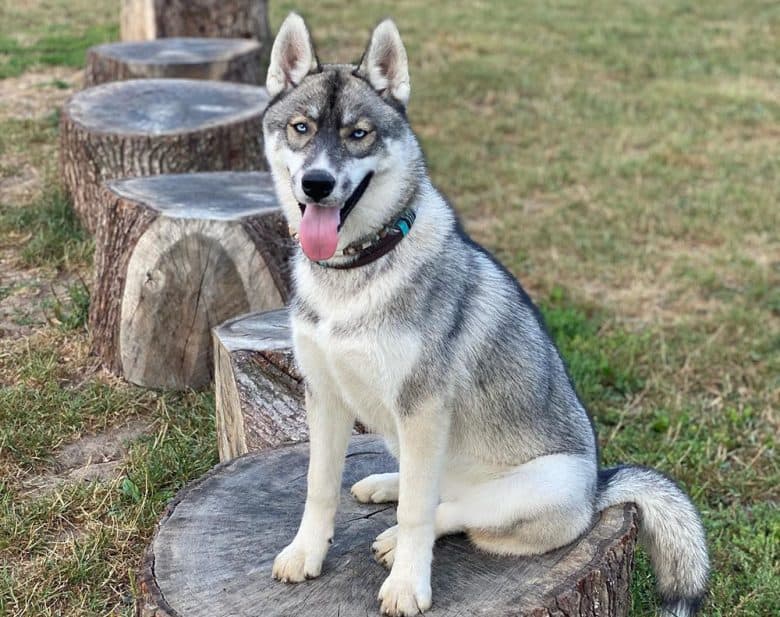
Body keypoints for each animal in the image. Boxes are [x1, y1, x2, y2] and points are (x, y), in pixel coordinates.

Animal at [260, 14, 708, 616]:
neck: (354, 272)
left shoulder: (423, 408)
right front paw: (306, 553)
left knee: (454, 509)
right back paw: (386, 482)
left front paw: (407, 584)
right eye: (301, 128)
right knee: (426, 485)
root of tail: (598, 488)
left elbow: (419, 513)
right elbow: (318, 487)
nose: (317, 184)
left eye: (359, 134)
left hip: (532, 487)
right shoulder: (325, 396)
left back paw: (395, 537)